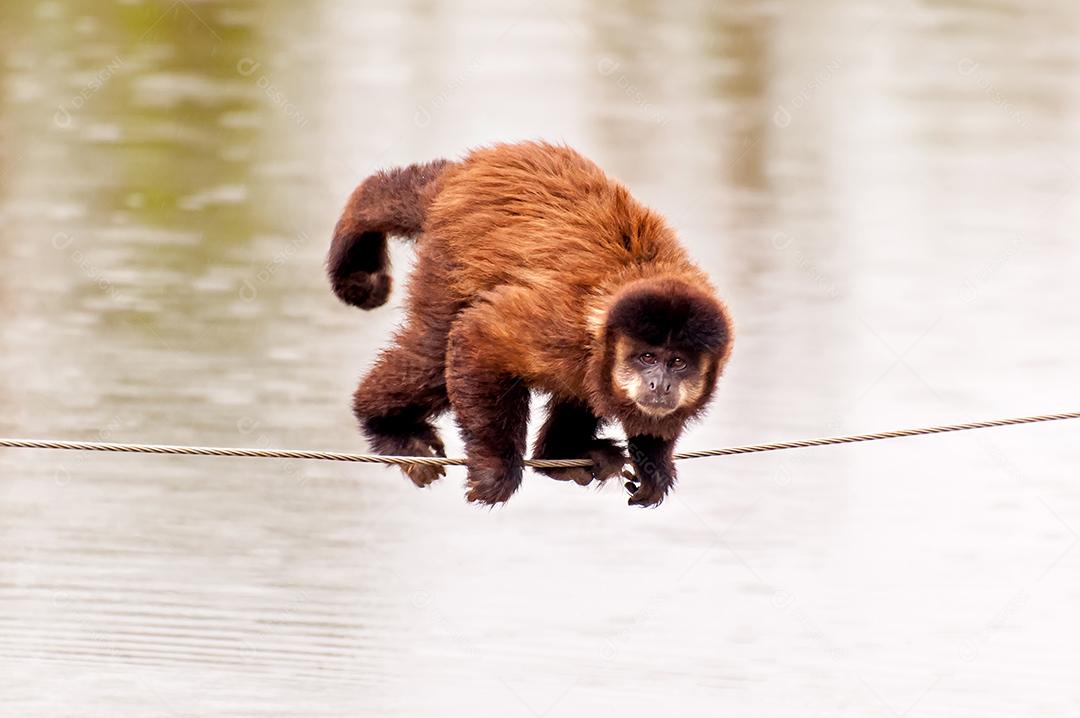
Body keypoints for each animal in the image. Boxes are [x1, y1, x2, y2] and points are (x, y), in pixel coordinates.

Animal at [326, 140, 734, 507]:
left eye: (677, 362)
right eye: (647, 358)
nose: (659, 383)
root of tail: (462, 173)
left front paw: (654, 459)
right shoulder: (561, 324)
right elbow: (478, 336)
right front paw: (496, 468)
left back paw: (562, 453)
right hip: (446, 255)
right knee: (433, 351)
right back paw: (386, 426)